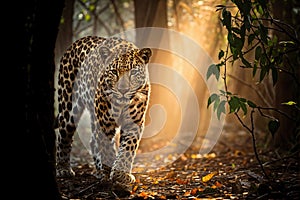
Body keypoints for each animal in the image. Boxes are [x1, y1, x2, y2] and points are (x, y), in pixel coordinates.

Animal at [54, 35, 152, 191]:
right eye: (114, 72)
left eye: (133, 72)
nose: (123, 90)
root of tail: (75, 43)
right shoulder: (105, 122)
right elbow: (107, 147)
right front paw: (111, 172)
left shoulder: (134, 123)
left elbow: (127, 148)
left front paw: (120, 174)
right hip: (69, 106)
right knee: (64, 136)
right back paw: (64, 169)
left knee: (93, 141)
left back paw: (99, 171)